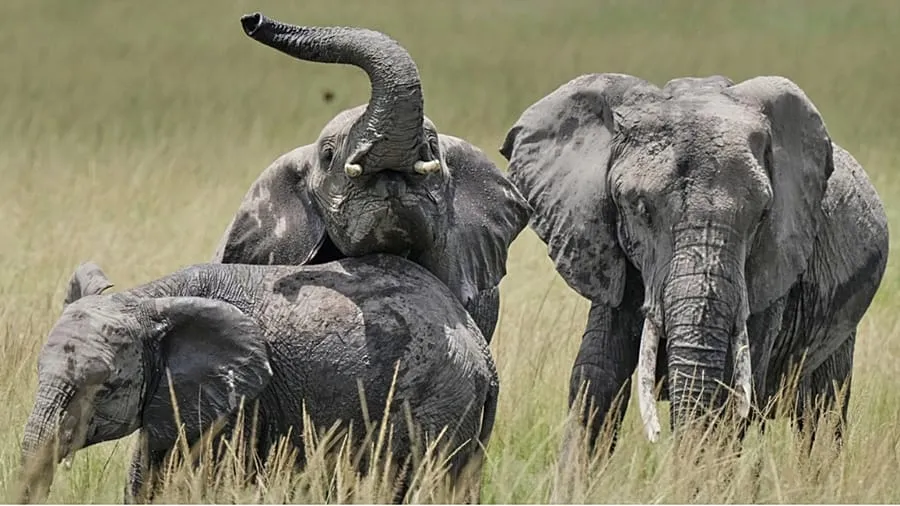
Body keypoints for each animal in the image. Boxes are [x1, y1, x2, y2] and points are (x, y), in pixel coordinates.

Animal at [19, 255, 498, 503]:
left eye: (104, 388)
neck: (149, 300)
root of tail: (482, 350)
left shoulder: (242, 402)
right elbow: (146, 476)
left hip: (438, 400)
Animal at [500, 73, 889, 451]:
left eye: (761, 215)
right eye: (640, 209)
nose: (659, 437)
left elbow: (732, 389)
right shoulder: (612, 258)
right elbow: (596, 375)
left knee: (822, 413)